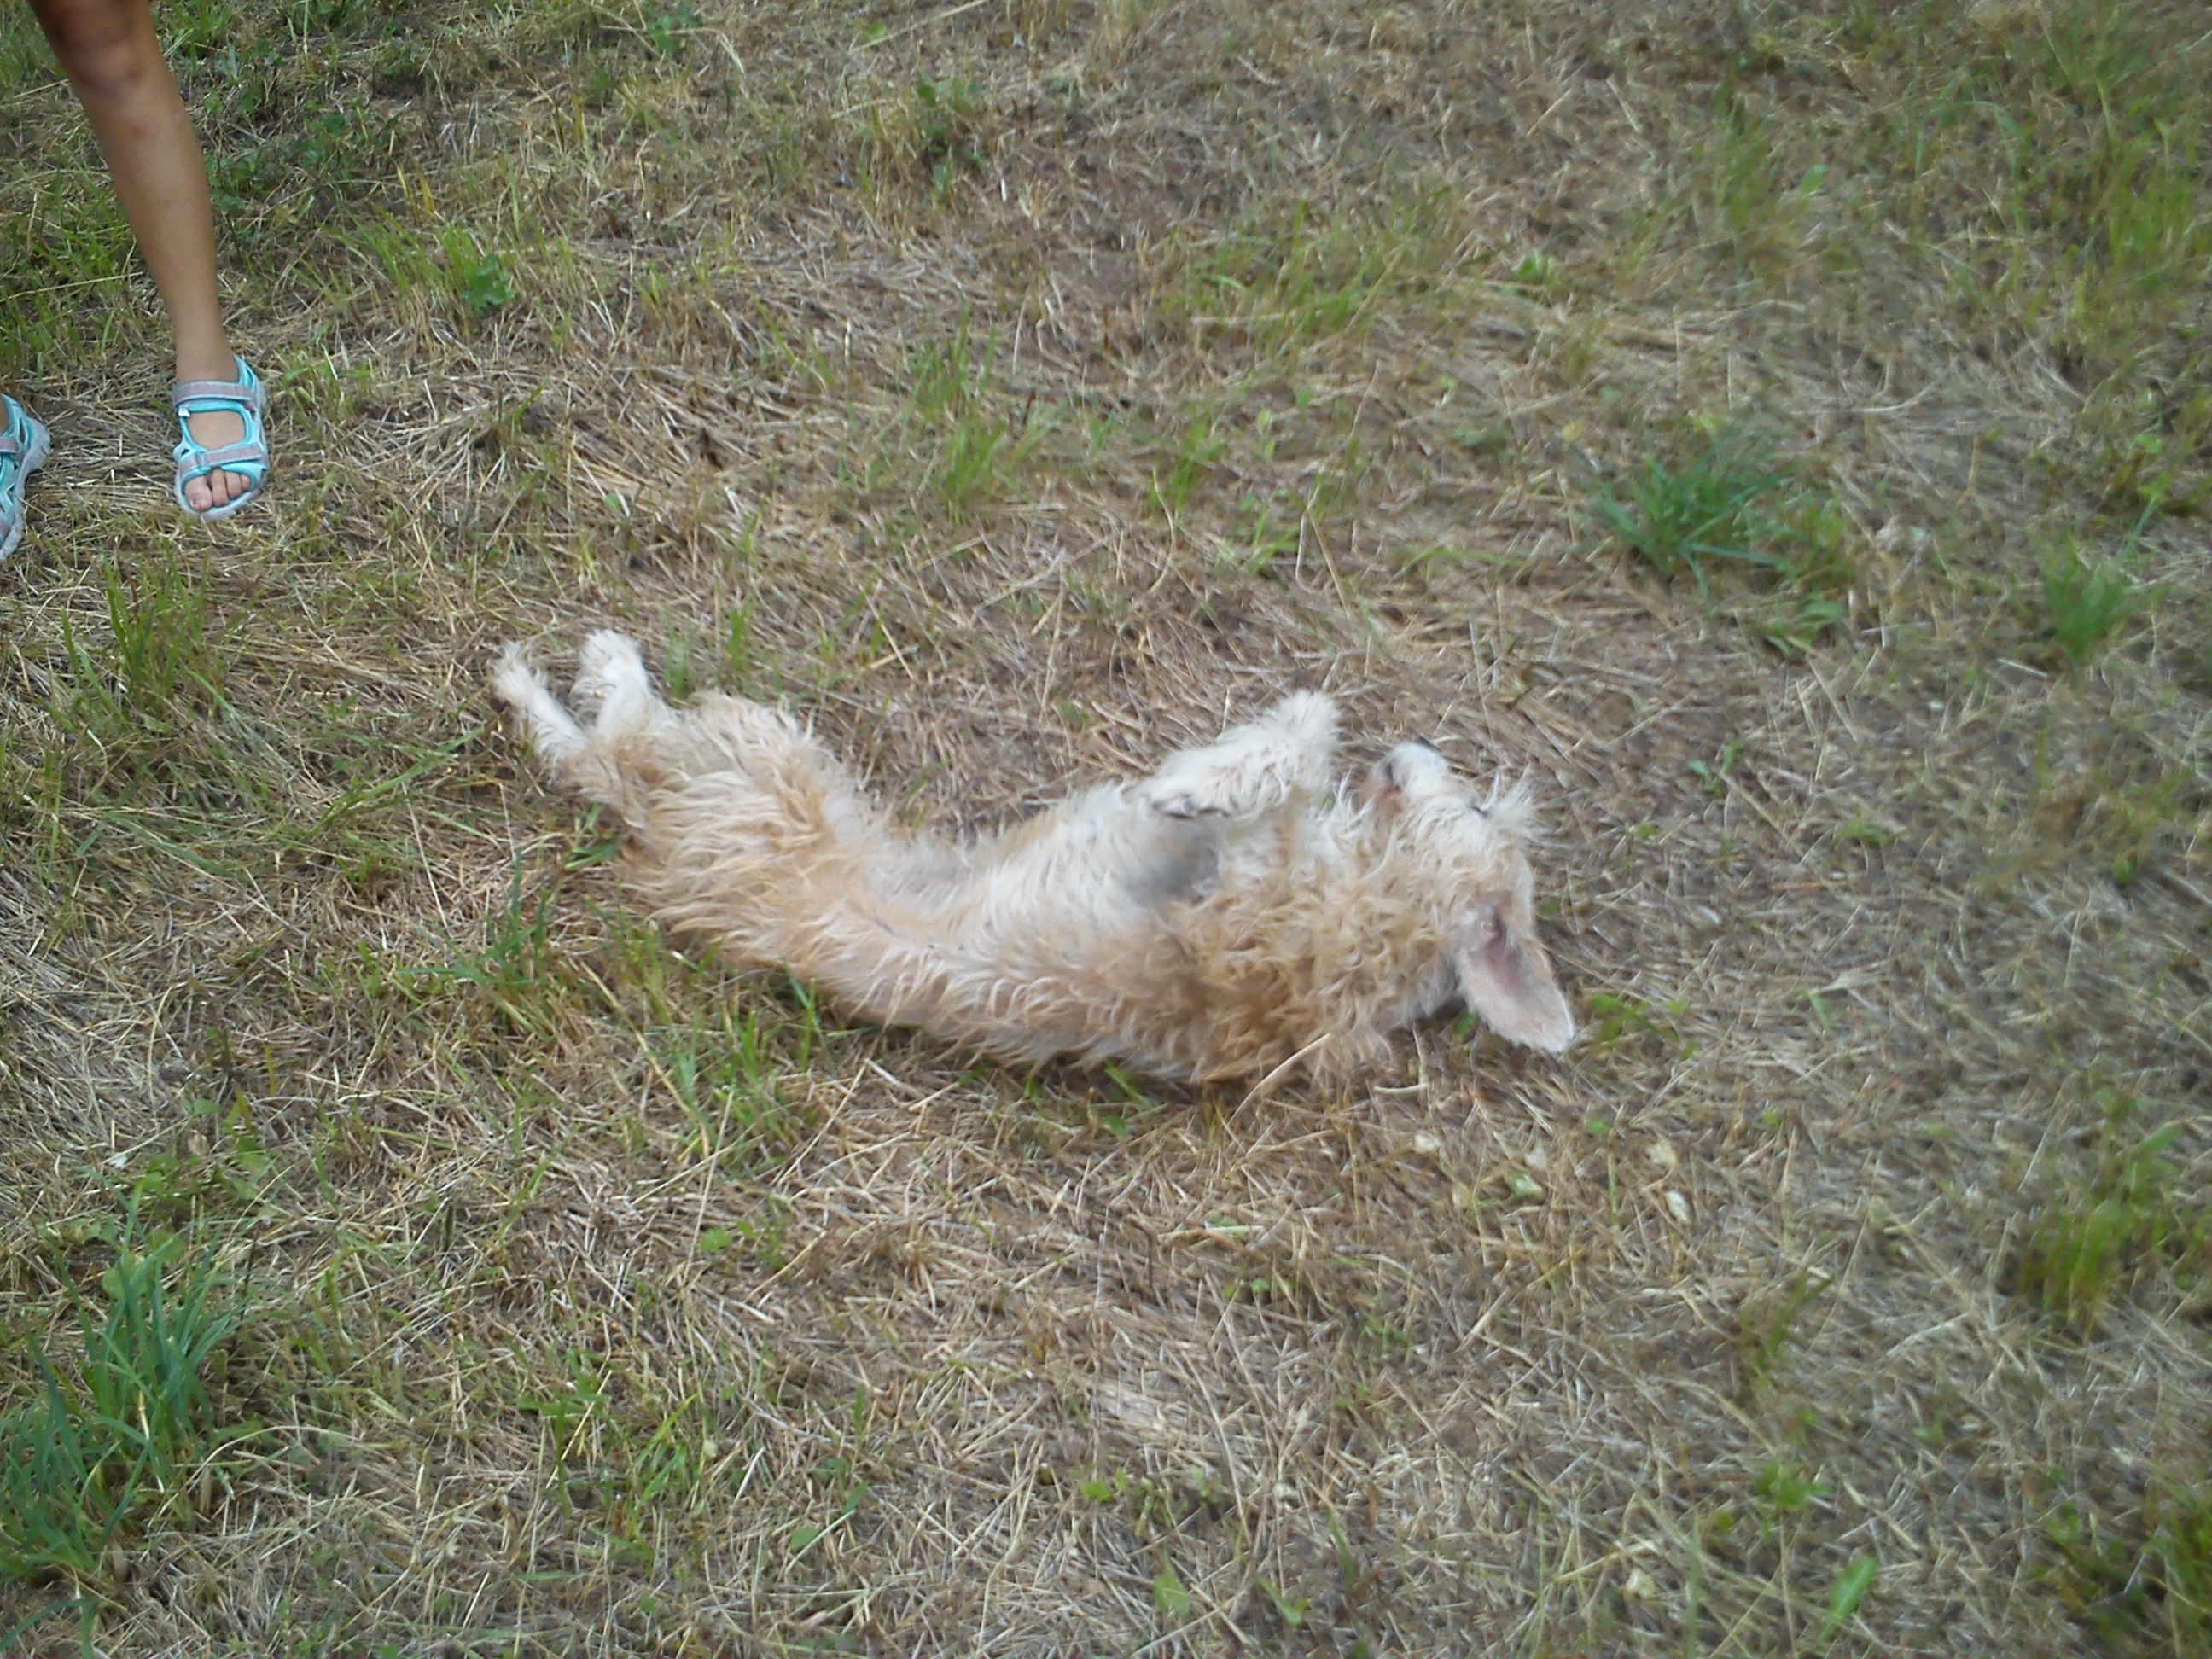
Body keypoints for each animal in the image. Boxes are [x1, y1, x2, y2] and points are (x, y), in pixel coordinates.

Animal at [492, 632, 1574, 1086]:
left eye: (1480, 802)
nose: (1423, 745)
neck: (1381, 903)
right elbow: (1312, 723)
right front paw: (1214, 770)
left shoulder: (1236, 899)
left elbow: (1301, 741)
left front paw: (1197, 782)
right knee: (605, 750)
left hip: (761, 767)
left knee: (612, 742)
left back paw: (583, 665)